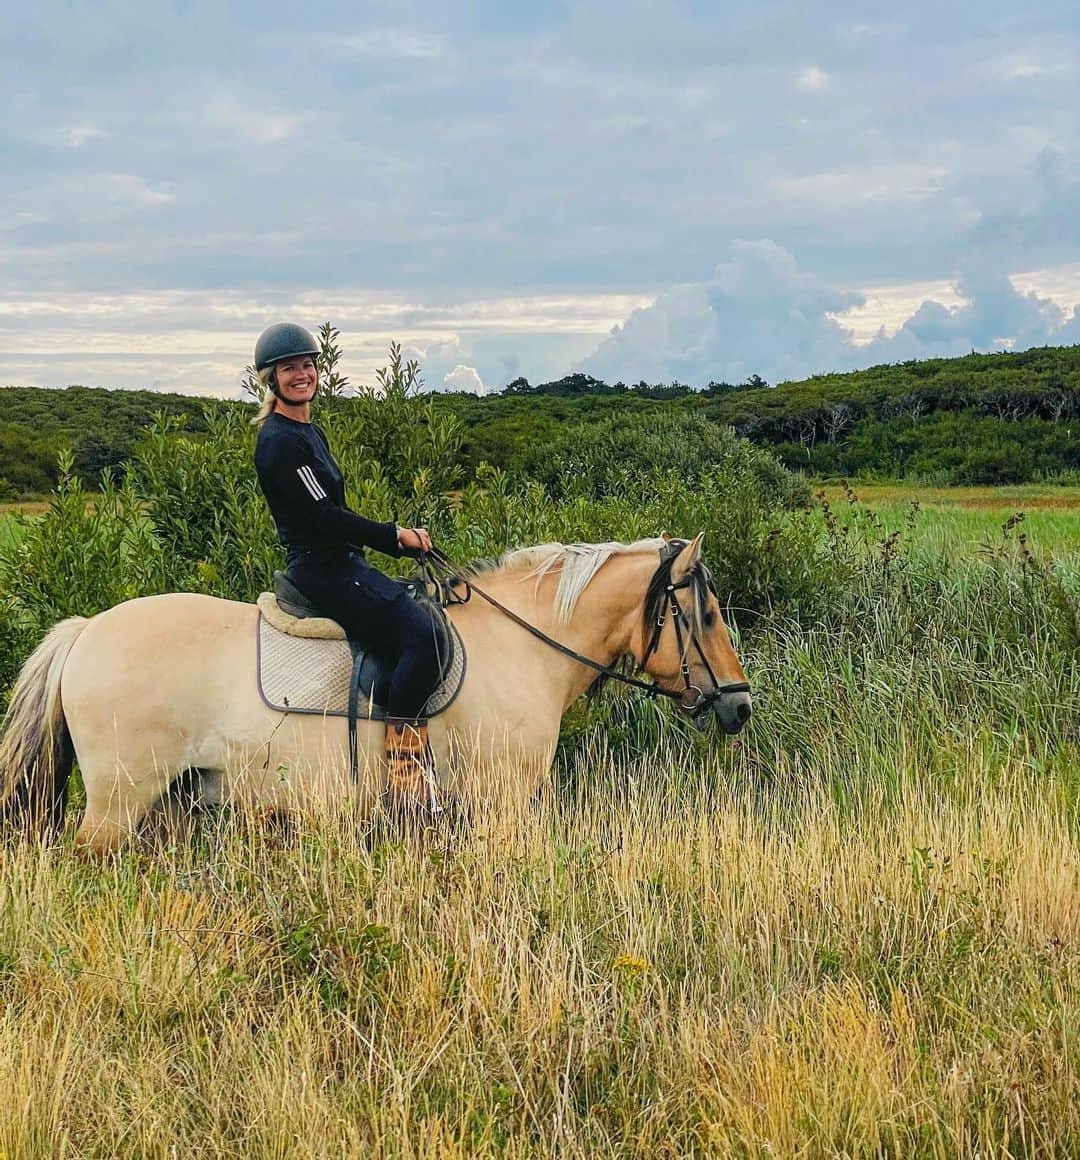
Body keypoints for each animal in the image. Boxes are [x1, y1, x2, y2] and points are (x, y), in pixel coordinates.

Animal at [0, 531, 751, 853]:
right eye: (709, 614)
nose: (740, 706)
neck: (523, 646)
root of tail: (88, 631)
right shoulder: (501, 803)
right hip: (118, 802)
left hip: (172, 800)